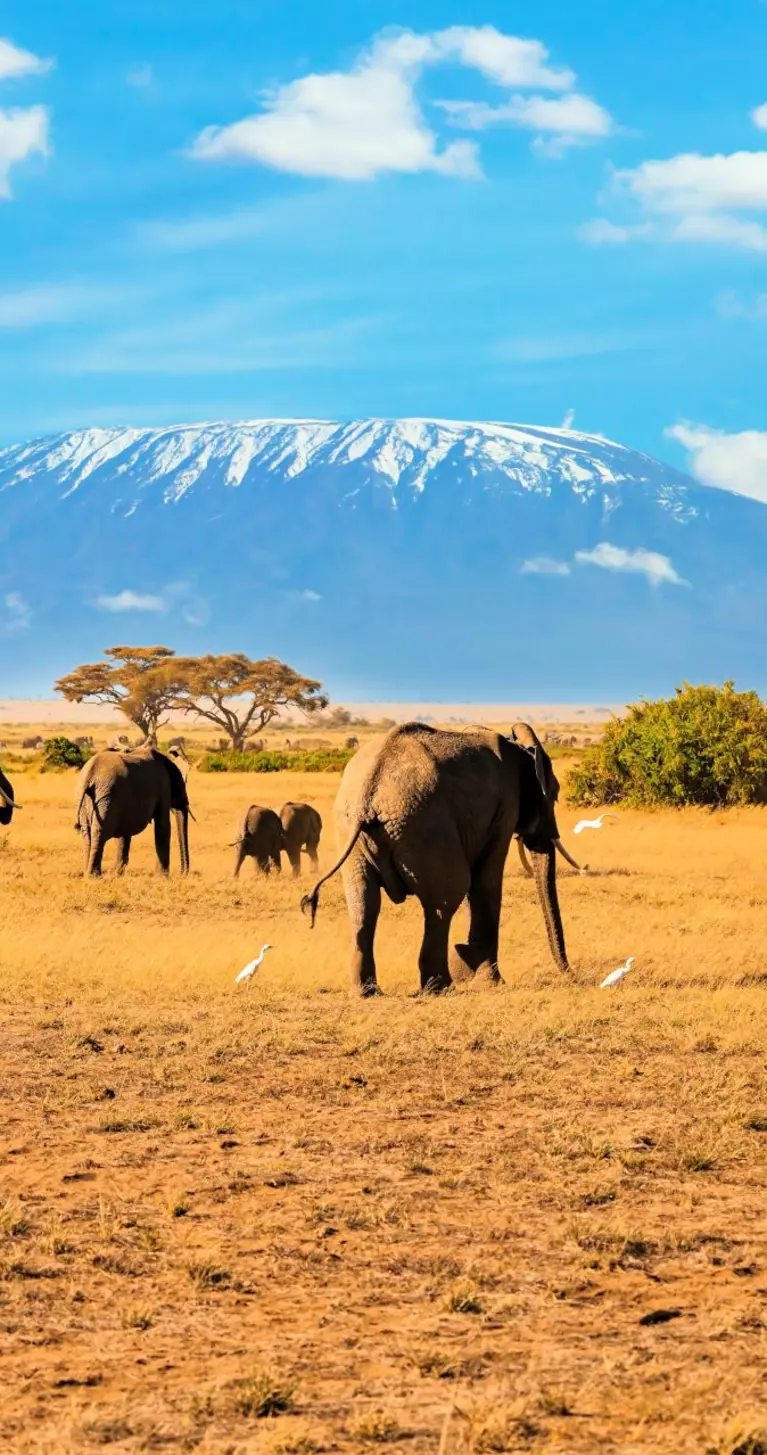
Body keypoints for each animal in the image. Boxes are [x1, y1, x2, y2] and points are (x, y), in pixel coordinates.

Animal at [75, 746, 191, 877]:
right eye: (181, 787)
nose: (182, 874)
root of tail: (90, 773)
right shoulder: (163, 787)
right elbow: (163, 825)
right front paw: (163, 877)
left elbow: (125, 832)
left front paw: (117, 874)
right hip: (106, 798)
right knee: (100, 833)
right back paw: (94, 876)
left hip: (89, 800)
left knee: (87, 834)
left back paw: (88, 874)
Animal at [301, 721, 572, 997]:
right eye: (555, 795)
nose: (568, 974)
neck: (518, 747)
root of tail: (370, 790)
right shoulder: (505, 806)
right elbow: (485, 881)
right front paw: (488, 981)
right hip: (423, 825)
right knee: (445, 900)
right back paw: (440, 988)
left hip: (353, 833)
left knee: (363, 903)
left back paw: (367, 992)